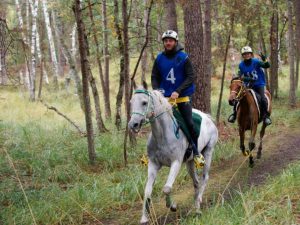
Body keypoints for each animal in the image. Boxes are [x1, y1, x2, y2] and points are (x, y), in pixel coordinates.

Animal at [128, 86, 218, 223]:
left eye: (144, 102)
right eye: (131, 102)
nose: (133, 124)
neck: (162, 135)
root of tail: (208, 118)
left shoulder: (176, 162)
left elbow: (167, 188)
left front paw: (173, 206)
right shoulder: (153, 164)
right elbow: (147, 191)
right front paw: (144, 218)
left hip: (208, 152)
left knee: (204, 178)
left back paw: (199, 201)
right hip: (190, 162)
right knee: (196, 182)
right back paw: (196, 207)